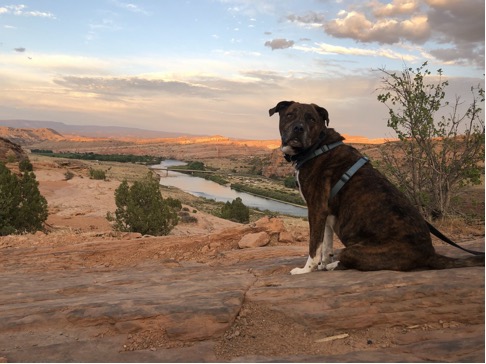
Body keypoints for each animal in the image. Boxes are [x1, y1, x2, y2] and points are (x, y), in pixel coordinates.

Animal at [268, 101, 484, 274]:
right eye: (290, 115)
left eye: (311, 119)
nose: (298, 128)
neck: (317, 146)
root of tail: (430, 253)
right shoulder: (326, 212)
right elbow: (326, 244)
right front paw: (321, 264)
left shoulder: (316, 209)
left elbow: (314, 245)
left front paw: (306, 270)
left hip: (353, 250)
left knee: (348, 259)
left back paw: (333, 265)